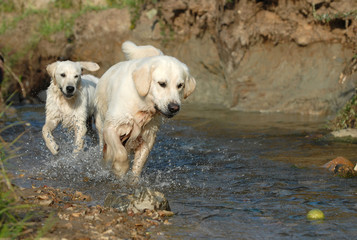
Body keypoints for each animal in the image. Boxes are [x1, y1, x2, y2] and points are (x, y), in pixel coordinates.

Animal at [94, 40, 195, 178]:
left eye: (180, 85)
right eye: (162, 84)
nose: (174, 108)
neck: (142, 104)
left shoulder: (148, 137)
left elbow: (138, 165)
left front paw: (132, 179)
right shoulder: (112, 126)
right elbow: (120, 152)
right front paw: (120, 168)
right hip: (101, 124)